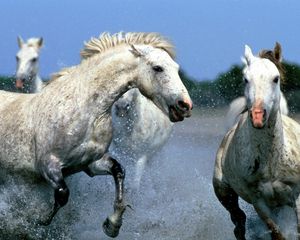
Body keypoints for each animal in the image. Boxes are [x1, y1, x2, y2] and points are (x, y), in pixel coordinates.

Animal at [0, 31, 192, 238]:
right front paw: (37, 220)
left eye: (177, 68)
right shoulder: (48, 164)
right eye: (158, 68)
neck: (85, 111)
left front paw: (113, 225)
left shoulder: (89, 163)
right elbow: (62, 194)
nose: (185, 105)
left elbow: (119, 171)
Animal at [214, 43, 300, 240]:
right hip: (224, 193)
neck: (271, 162)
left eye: (276, 78)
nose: (258, 116)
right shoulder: (259, 201)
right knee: (239, 222)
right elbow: (276, 233)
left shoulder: (296, 197)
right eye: (246, 79)